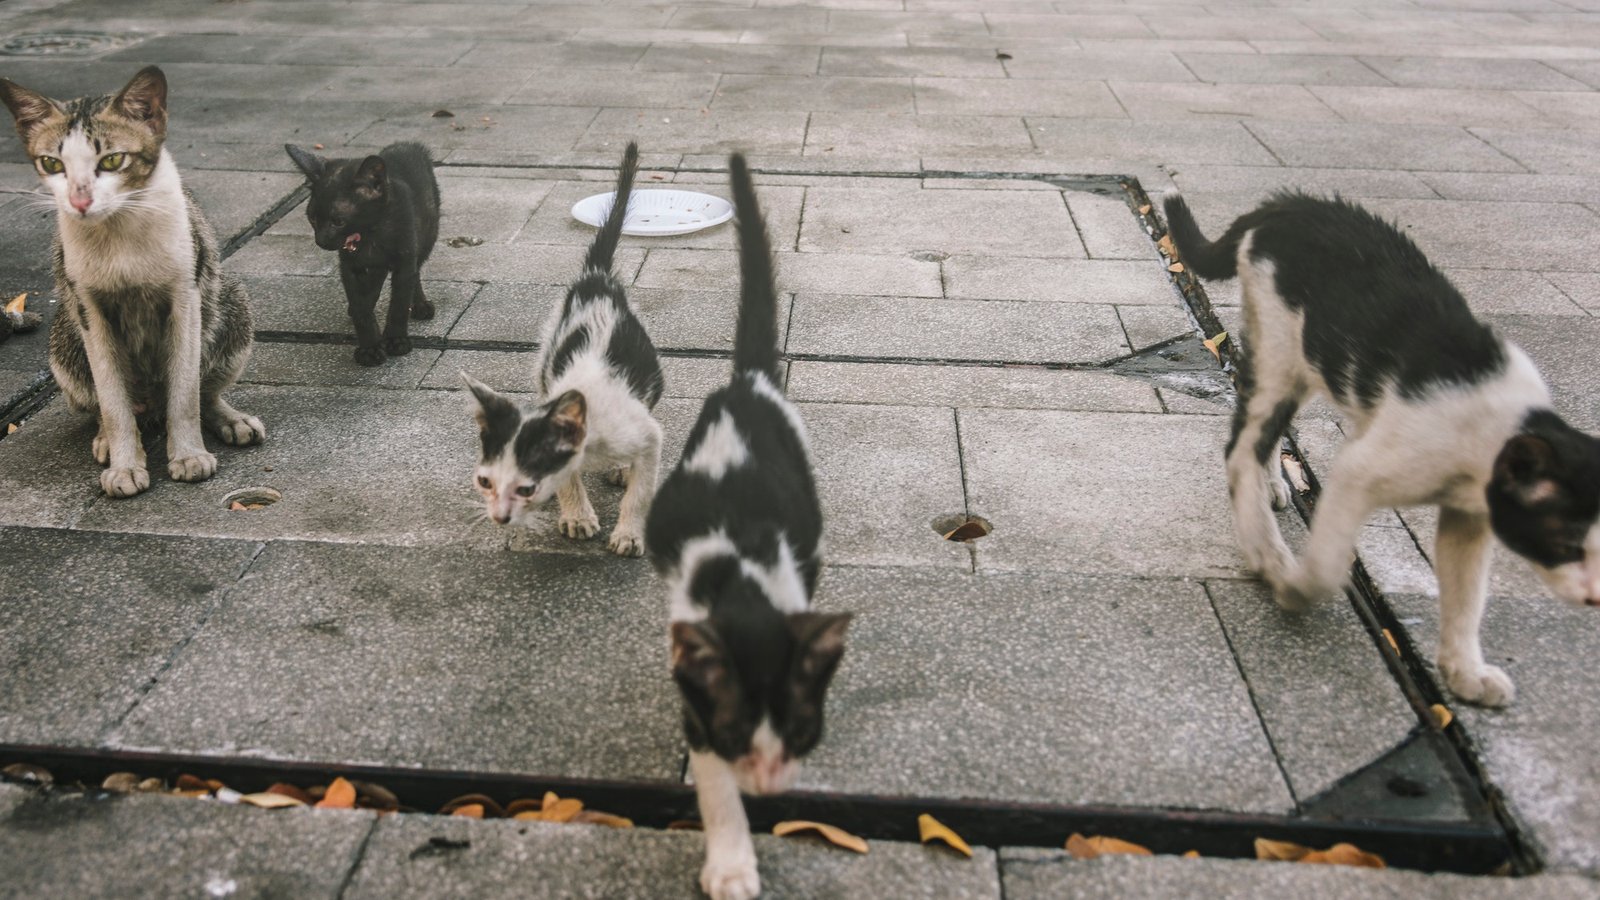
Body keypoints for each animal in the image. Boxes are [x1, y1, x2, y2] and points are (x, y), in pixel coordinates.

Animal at [0, 65, 262, 493]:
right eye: (53, 165)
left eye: (112, 160)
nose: (80, 201)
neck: (118, 230)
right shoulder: (89, 309)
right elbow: (111, 396)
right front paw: (125, 462)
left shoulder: (185, 297)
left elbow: (186, 391)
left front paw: (188, 453)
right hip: (63, 338)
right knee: (103, 400)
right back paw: (107, 437)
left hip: (231, 299)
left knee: (203, 387)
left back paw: (229, 418)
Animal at [284, 140, 441, 365]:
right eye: (312, 218)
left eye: (338, 221)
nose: (320, 241)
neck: (369, 234)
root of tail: (407, 144)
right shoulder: (348, 266)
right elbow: (361, 306)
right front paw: (370, 348)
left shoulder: (404, 258)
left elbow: (400, 301)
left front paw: (396, 340)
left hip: (428, 234)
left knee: (415, 270)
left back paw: (420, 305)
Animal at [464, 141, 662, 554]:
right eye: (485, 481)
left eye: (525, 488)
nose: (498, 517)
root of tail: (596, 278)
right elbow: (569, 478)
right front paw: (577, 515)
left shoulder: (649, 436)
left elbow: (642, 490)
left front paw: (629, 533)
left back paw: (622, 469)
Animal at [646, 156, 857, 896]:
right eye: (739, 736)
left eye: (800, 732)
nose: (767, 784)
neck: (739, 578)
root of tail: (749, 383)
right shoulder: (697, 695)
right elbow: (712, 782)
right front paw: (732, 861)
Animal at [1164, 190, 1600, 707]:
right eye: (1567, 544)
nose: (1595, 597)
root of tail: (1288, 203)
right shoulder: (1359, 470)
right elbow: (1328, 563)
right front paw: (1295, 588)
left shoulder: (1468, 518)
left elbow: (1466, 595)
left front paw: (1464, 672)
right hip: (1281, 352)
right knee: (1240, 446)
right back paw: (1265, 550)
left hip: (1301, 361)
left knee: (1259, 430)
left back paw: (1270, 490)